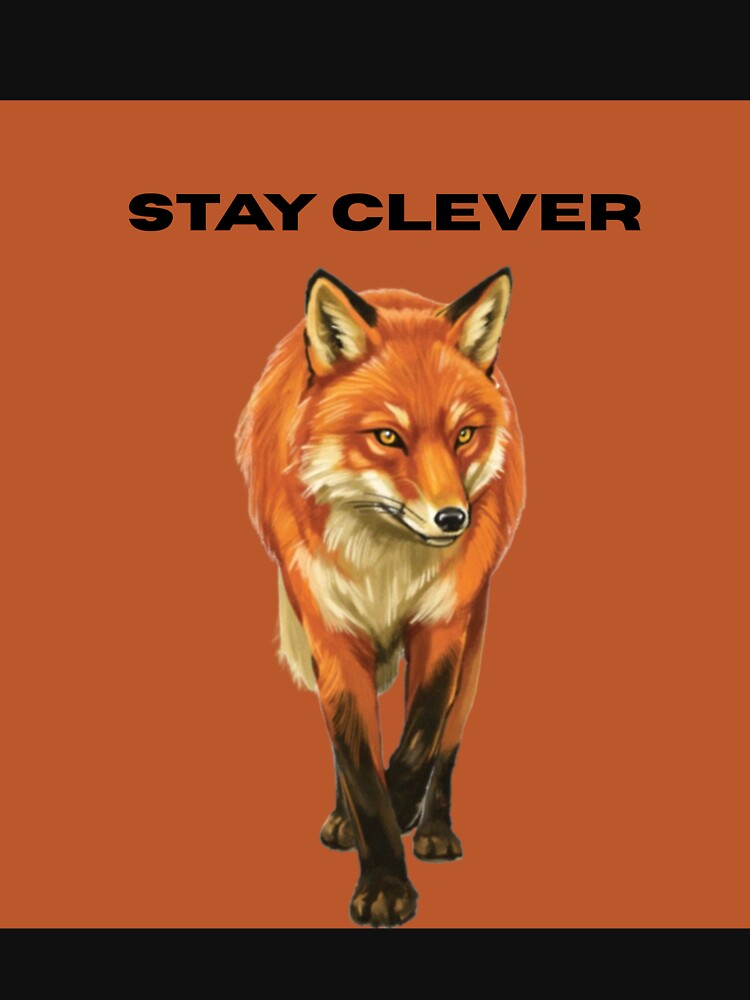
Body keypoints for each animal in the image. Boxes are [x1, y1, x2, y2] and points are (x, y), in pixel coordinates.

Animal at [235, 267, 526, 927]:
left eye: (464, 434)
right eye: (388, 437)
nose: (453, 519)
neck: (386, 568)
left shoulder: (444, 624)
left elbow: (419, 741)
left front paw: (406, 809)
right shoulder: (331, 631)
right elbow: (358, 765)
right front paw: (384, 881)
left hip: (476, 635)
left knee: (450, 739)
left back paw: (434, 827)